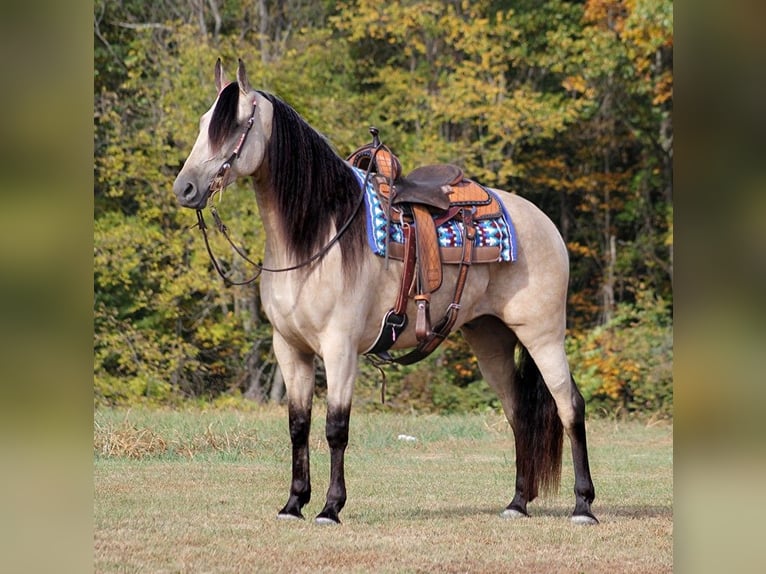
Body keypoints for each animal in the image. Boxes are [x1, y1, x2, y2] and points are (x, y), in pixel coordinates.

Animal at [174, 58, 600, 528]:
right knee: (520, 414)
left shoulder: (339, 348)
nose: (185, 188)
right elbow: (298, 426)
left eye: (233, 125)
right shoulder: (289, 347)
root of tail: (544, 223)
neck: (316, 238)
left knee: (570, 406)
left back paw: (583, 506)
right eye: (203, 122)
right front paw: (293, 503)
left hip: (543, 335)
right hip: (491, 339)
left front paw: (330, 508)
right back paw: (517, 503)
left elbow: (335, 429)